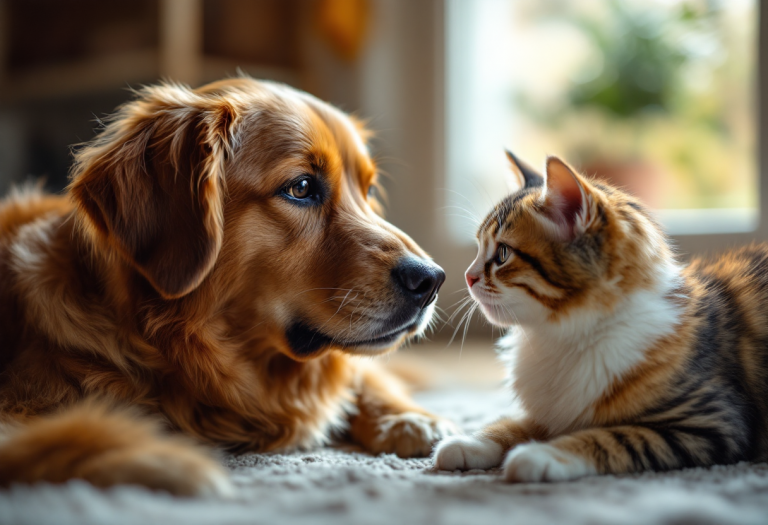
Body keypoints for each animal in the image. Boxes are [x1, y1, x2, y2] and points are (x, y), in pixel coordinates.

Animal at [0, 77, 456, 496]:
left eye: (368, 189)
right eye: (301, 187)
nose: (431, 279)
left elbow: (359, 376)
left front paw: (407, 417)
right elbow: (66, 438)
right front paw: (173, 462)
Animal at [436, 149, 764, 482]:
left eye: (502, 254)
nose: (467, 277)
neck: (558, 335)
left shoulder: (711, 422)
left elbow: (609, 437)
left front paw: (540, 454)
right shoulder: (555, 411)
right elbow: (515, 424)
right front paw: (469, 442)